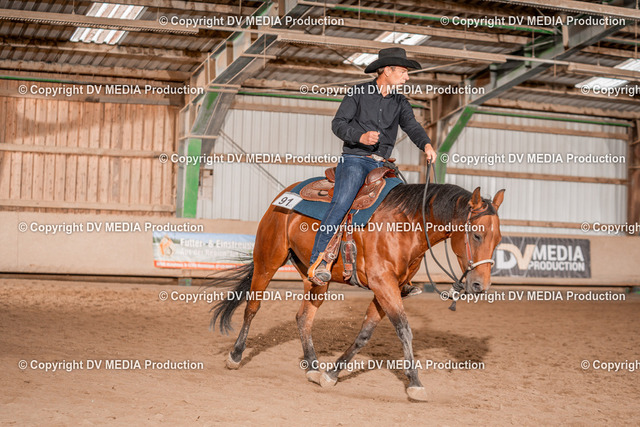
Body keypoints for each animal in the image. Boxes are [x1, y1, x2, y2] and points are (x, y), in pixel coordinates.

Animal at [210, 180, 505, 401]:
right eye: (477, 234)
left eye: (498, 238)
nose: (480, 285)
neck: (406, 226)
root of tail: (282, 197)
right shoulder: (383, 284)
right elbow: (404, 330)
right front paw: (415, 383)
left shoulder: (388, 288)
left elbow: (365, 333)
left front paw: (332, 374)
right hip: (268, 260)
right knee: (252, 307)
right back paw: (235, 355)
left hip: (316, 280)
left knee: (303, 318)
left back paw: (313, 367)